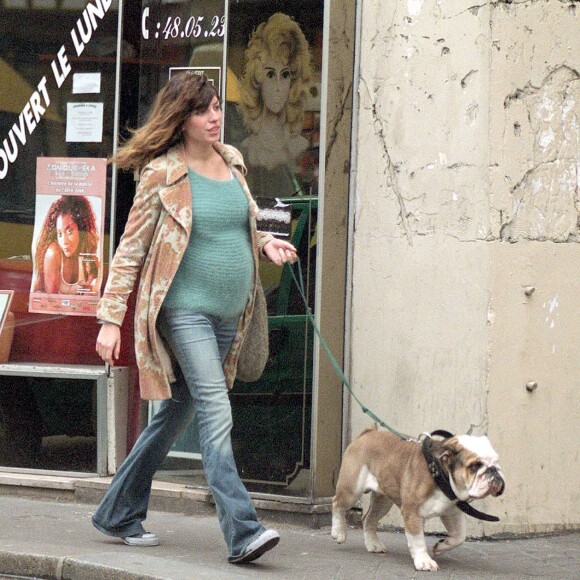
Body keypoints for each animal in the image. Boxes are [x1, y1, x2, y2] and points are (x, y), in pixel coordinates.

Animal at [334, 430, 506, 572]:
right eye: (474, 466)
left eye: (497, 462)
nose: (494, 471)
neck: (439, 473)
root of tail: (368, 432)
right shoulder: (412, 513)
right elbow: (418, 540)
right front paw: (424, 561)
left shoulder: (451, 512)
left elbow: (460, 536)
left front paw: (441, 546)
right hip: (351, 490)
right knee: (337, 503)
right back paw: (338, 533)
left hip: (383, 502)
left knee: (369, 518)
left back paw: (373, 544)